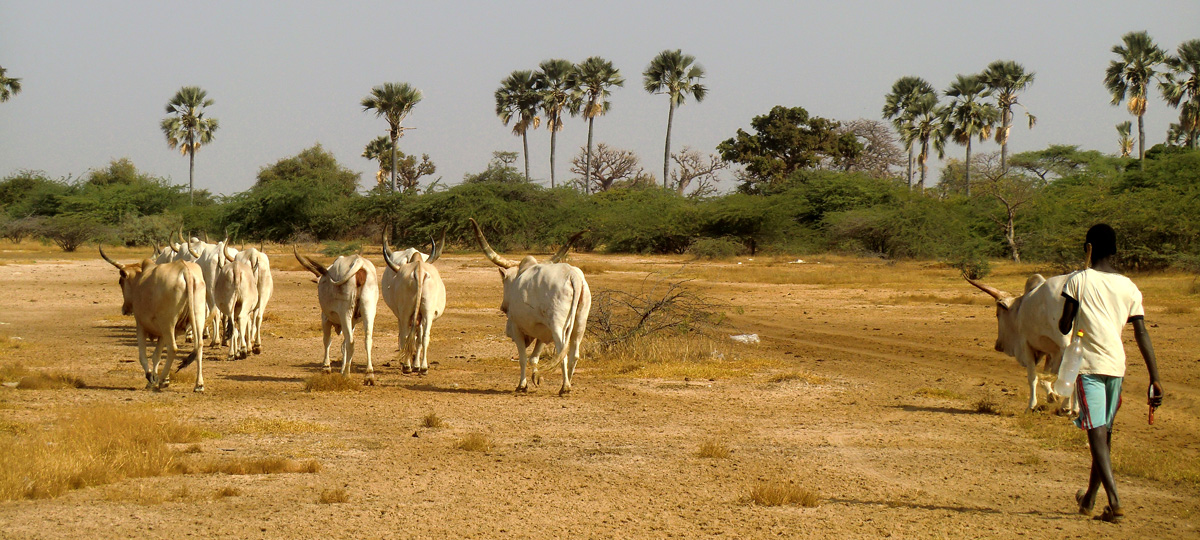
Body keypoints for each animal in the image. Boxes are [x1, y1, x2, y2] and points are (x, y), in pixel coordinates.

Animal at [99, 246, 207, 391]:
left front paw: (151, 377)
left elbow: (143, 355)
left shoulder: (141, 326)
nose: (125, 309)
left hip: (168, 324)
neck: (140, 280)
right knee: (199, 345)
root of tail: (185, 270)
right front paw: (156, 379)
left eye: (121, 281)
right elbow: (156, 355)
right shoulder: (162, 333)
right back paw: (199, 384)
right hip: (197, 317)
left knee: (173, 348)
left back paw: (161, 381)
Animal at [292, 248, 376, 384]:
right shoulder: (353, 322)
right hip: (369, 309)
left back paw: (347, 375)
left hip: (345, 312)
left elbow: (327, 340)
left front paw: (326, 367)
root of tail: (359, 262)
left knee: (351, 342)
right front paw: (340, 369)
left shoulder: (325, 318)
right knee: (367, 339)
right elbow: (343, 345)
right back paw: (369, 375)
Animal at [381, 229, 448, 374]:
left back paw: (407, 366)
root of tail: (419, 269)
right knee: (424, 337)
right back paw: (423, 367)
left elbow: (406, 337)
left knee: (406, 335)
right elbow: (419, 339)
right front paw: (416, 364)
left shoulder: (401, 315)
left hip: (405, 312)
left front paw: (410, 363)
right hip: (427, 312)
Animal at [465, 219, 588, 396]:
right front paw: (536, 377)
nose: (503, 306)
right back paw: (568, 383)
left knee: (561, 352)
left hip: (558, 325)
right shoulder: (543, 331)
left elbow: (523, 358)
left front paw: (522, 385)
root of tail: (572, 276)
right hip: (579, 324)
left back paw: (565, 387)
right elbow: (534, 357)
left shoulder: (517, 329)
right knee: (574, 354)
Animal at [969, 272, 1075, 410]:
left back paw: (1067, 407)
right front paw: (1052, 396)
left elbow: (1033, 377)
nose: (998, 345)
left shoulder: (1027, 345)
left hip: (1066, 342)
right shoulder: (1051, 351)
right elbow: (1046, 378)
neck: (1020, 308)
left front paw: (1031, 405)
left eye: (998, 314)